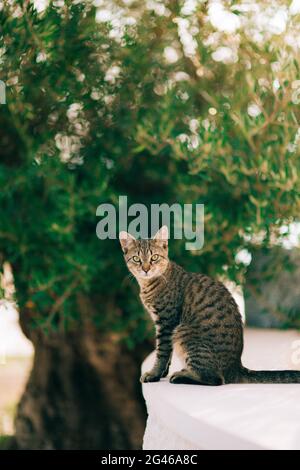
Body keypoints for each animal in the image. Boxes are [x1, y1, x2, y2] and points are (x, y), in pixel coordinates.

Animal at [119, 227, 300, 386]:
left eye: (154, 257)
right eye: (136, 259)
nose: (146, 269)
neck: (149, 284)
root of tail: (235, 366)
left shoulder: (166, 323)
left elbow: (162, 353)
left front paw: (154, 374)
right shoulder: (164, 325)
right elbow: (167, 355)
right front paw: (162, 373)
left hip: (184, 333)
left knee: (215, 379)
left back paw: (182, 376)